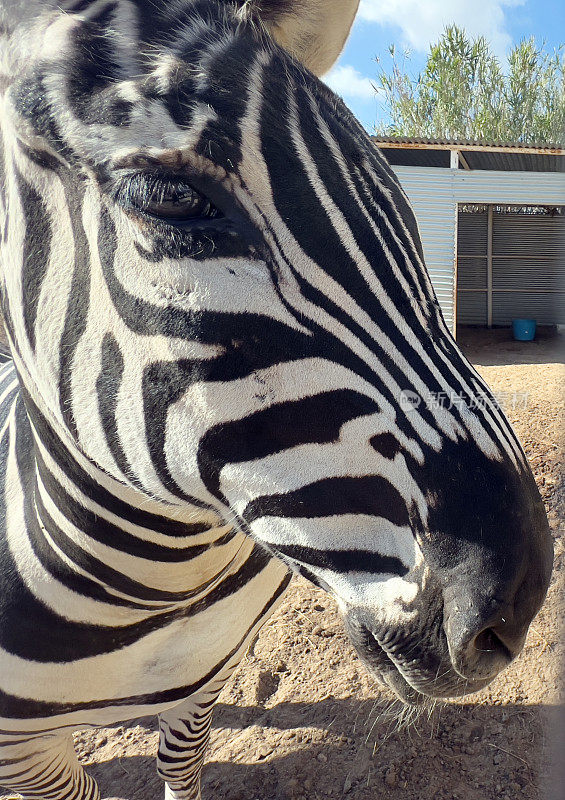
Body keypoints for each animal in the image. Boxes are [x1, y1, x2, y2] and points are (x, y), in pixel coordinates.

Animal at [0, 0, 552, 796]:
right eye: (170, 199)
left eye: (404, 213)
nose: (514, 604)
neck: (160, 587)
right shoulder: (22, 750)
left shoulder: (206, 683)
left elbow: (183, 761)